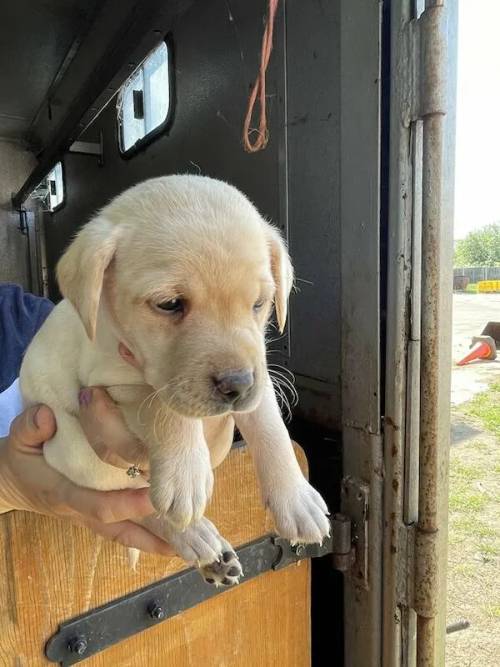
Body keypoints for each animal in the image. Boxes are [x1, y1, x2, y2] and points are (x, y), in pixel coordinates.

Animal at [20, 176, 328, 584]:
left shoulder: (259, 375)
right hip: (75, 452)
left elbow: (270, 426)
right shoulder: (110, 382)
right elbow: (163, 405)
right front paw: (185, 475)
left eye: (260, 304)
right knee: (139, 504)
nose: (237, 385)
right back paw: (195, 536)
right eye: (169, 304)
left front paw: (296, 499)